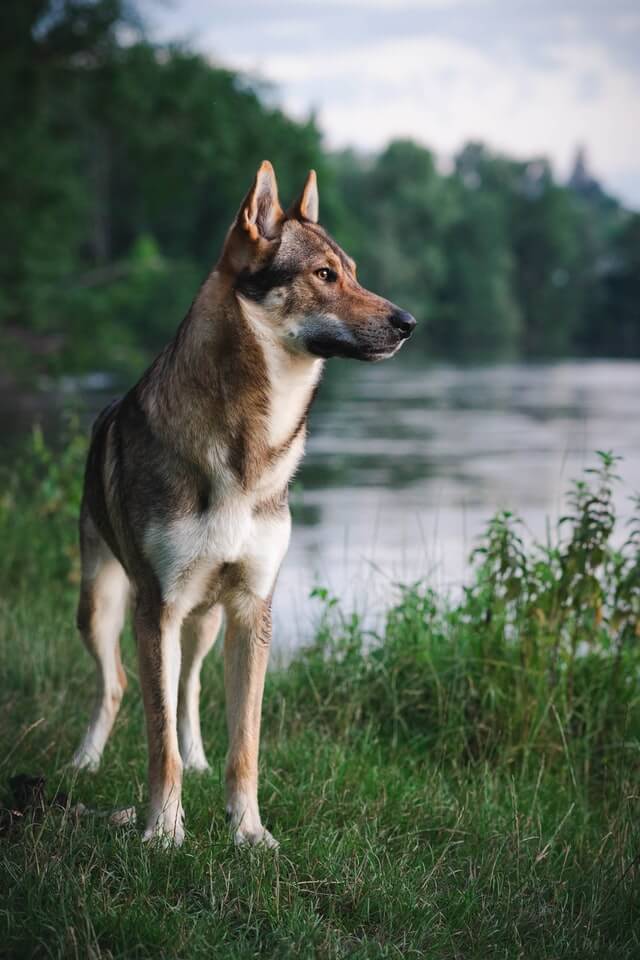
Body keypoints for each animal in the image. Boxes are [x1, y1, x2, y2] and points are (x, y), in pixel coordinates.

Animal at [72, 161, 418, 844]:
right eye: (324, 275)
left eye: (354, 271)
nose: (408, 323)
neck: (249, 448)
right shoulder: (157, 607)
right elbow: (158, 744)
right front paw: (163, 833)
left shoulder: (252, 609)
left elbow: (245, 743)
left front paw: (248, 833)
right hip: (102, 607)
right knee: (118, 684)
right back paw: (86, 761)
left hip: (204, 623)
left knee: (189, 689)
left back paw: (199, 759)